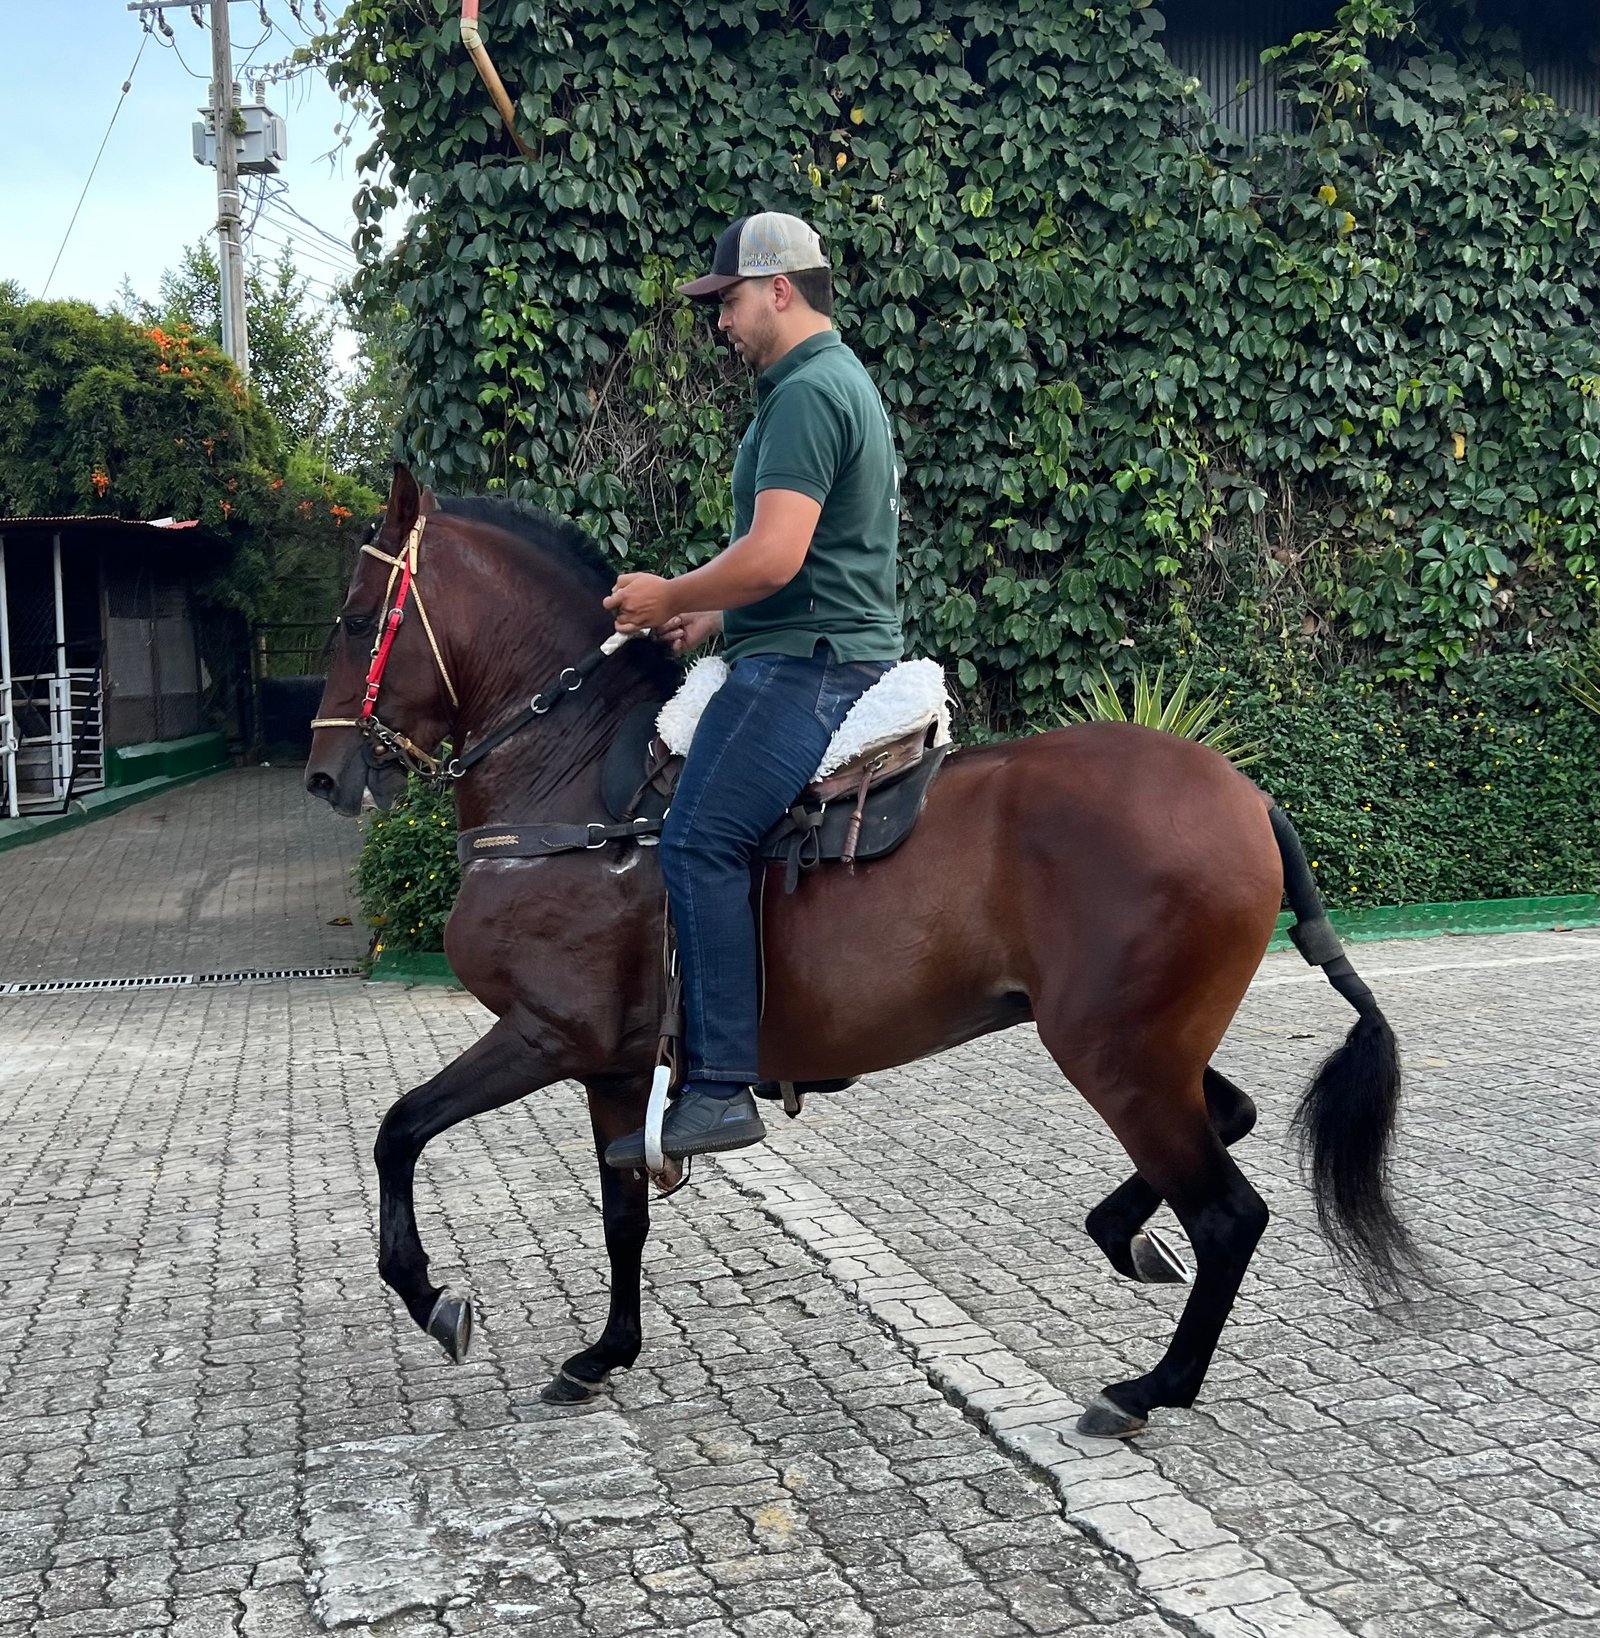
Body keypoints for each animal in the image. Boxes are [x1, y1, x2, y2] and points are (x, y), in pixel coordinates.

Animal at [306, 461, 1414, 1434]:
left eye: (357, 618)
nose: (324, 777)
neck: (577, 785)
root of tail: (1247, 796)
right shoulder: (613, 1069)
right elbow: (623, 1215)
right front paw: (603, 1353)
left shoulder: (544, 1035)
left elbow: (398, 1131)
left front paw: (431, 1297)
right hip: (1150, 1046)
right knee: (1231, 1115)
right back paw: (1125, 1243)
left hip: (1116, 1054)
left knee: (1227, 1214)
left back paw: (1150, 1388)